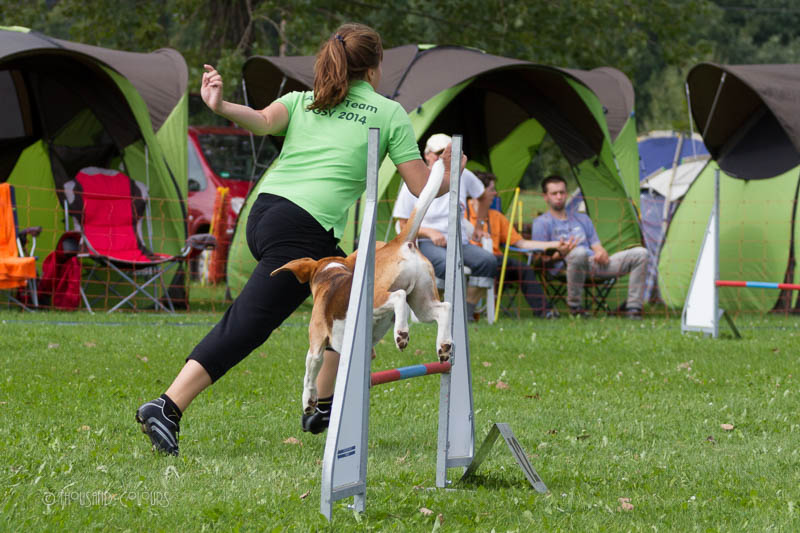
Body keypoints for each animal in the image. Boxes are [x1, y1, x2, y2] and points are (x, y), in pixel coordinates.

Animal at [271, 160, 453, 414]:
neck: (332, 272)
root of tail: (401, 242)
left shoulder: (316, 344)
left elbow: (310, 375)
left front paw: (308, 402)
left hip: (377, 299)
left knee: (398, 298)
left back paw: (401, 334)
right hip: (422, 301)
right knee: (443, 307)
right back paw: (443, 345)